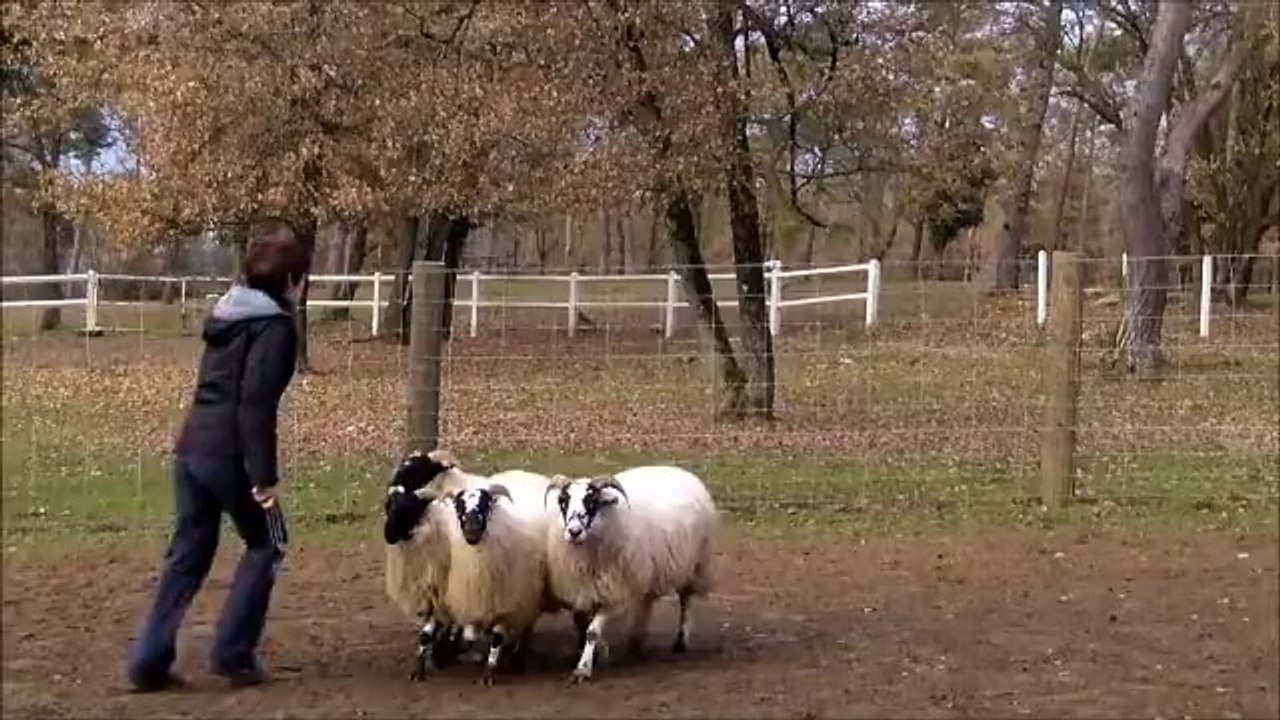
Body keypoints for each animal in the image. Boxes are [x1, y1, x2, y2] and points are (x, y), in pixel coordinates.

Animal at [543, 465, 718, 684]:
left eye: (592, 502)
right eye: (563, 501)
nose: (574, 532)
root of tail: (680, 470)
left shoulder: (617, 592)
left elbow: (592, 631)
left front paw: (583, 669)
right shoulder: (583, 590)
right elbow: (582, 625)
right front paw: (600, 652)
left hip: (694, 563)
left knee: (685, 599)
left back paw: (680, 641)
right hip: (648, 571)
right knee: (647, 601)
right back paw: (636, 642)